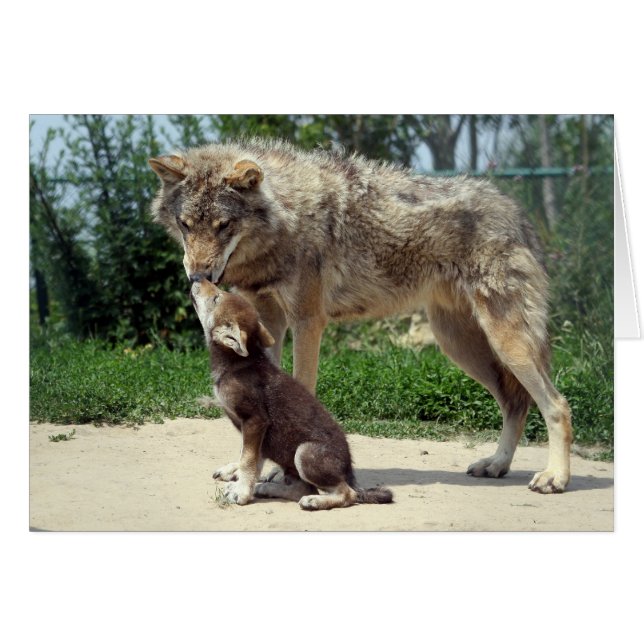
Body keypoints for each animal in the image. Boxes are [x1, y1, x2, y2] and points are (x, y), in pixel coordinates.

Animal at [190, 277, 393, 510]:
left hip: (304, 453)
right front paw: (244, 485)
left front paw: (241, 492)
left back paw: (315, 501)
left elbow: (248, 461)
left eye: (216, 298)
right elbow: (252, 460)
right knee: (302, 488)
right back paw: (268, 488)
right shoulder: (258, 434)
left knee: (346, 494)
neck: (239, 363)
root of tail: (349, 470)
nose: (197, 278)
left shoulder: (256, 420)